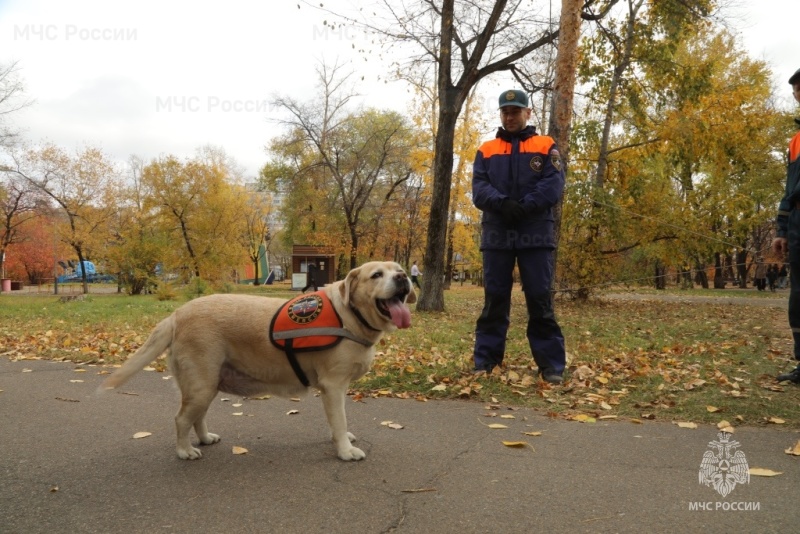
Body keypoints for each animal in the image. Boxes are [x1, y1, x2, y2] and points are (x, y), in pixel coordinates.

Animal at [101, 262, 416, 462]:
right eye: (376, 274)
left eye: (399, 269)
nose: (403, 277)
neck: (350, 315)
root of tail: (176, 314)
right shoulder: (333, 385)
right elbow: (339, 419)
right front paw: (345, 451)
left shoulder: (335, 390)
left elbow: (336, 419)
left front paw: (341, 440)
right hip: (200, 384)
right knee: (180, 419)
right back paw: (184, 450)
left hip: (208, 384)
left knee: (197, 417)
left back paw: (204, 438)